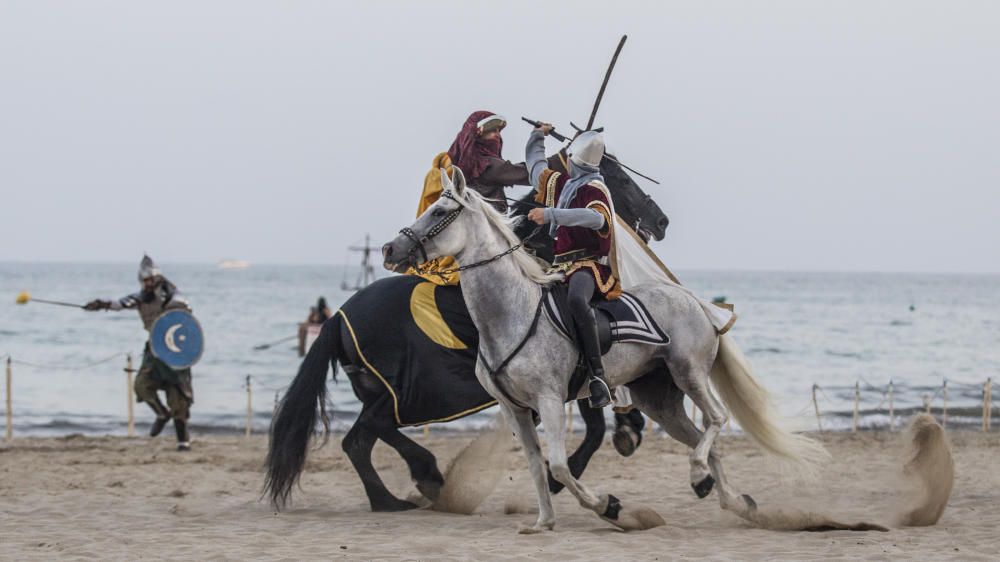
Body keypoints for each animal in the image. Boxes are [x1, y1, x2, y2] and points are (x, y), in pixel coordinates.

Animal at [266, 155, 672, 510]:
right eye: (620, 179)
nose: (661, 221)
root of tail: (339, 316)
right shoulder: (569, 373)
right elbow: (594, 428)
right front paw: (565, 475)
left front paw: (627, 428)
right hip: (395, 394)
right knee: (371, 430)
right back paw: (425, 476)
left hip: (377, 391)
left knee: (358, 441)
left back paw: (392, 498)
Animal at [378, 168, 824, 532]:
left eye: (439, 212)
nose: (389, 250)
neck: (511, 312)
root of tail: (694, 301)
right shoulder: (514, 408)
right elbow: (536, 466)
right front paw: (543, 522)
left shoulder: (550, 400)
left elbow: (558, 465)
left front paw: (610, 507)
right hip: (658, 400)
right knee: (703, 438)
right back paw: (731, 499)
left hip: (689, 373)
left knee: (716, 419)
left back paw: (701, 477)